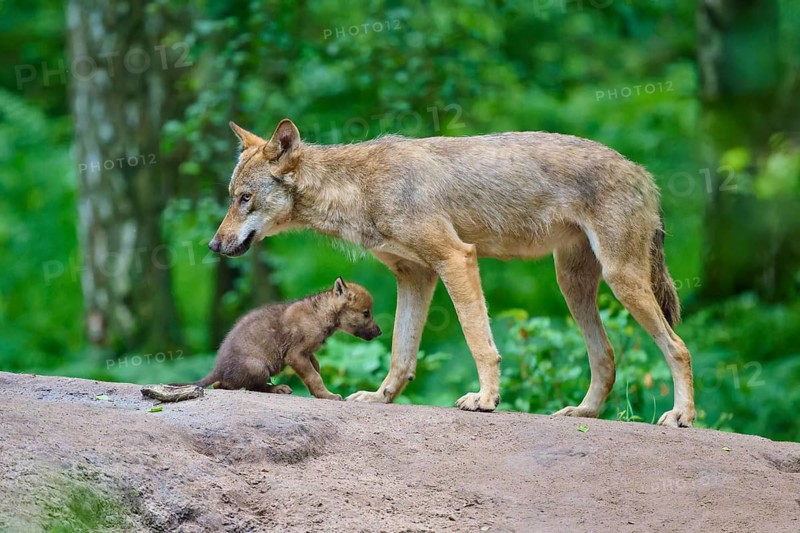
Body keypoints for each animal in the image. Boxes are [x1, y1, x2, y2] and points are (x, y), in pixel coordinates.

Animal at [188, 278, 381, 399]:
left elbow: (317, 369)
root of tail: (218, 368)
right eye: (366, 313)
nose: (379, 332)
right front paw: (328, 395)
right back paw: (279, 388)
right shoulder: (295, 355)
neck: (321, 314)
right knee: (250, 387)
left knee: (221, 384)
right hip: (260, 368)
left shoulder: (308, 353)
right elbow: (314, 377)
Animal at [208, 118, 695, 427]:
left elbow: (480, 342)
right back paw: (584, 413)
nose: (213, 245)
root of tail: (642, 172)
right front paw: (381, 398)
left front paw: (486, 400)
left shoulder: (456, 259)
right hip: (573, 286)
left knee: (678, 347)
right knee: (607, 356)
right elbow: (401, 352)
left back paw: (682, 416)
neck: (359, 188)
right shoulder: (414, 276)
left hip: (622, 281)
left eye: (244, 199)